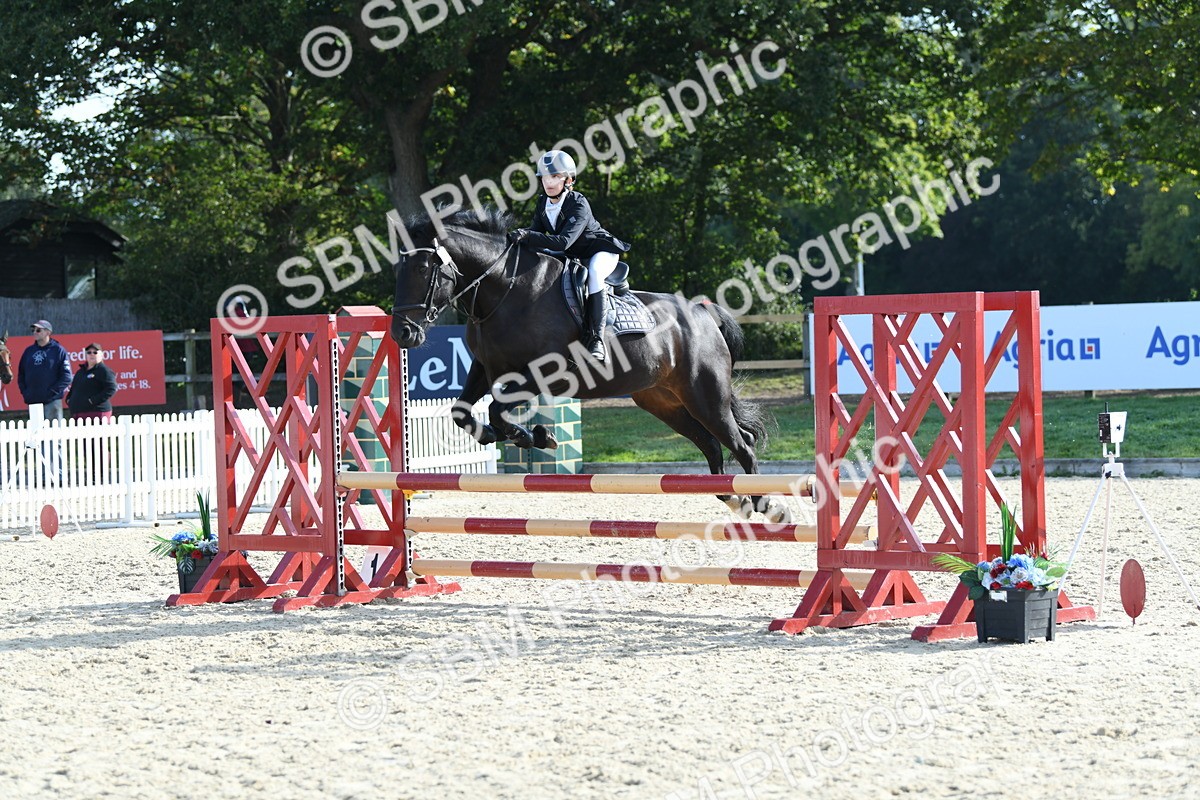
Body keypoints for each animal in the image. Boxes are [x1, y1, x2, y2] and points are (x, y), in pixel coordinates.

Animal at [390, 207, 790, 522]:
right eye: (399, 269)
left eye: (425, 269)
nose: (401, 333)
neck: (504, 291)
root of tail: (704, 313)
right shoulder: (485, 369)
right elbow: (462, 411)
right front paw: (502, 435)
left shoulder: (543, 374)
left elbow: (498, 411)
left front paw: (535, 436)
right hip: (664, 402)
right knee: (710, 444)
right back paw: (733, 498)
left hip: (705, 396)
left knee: (742, 444)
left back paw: (764, 504)